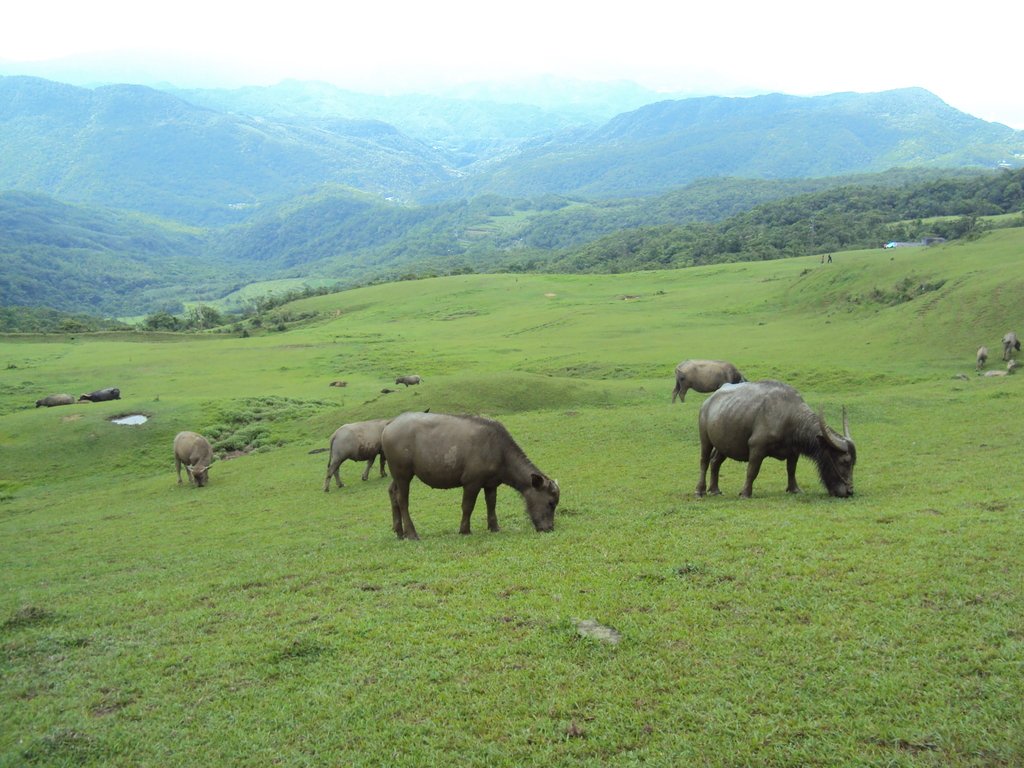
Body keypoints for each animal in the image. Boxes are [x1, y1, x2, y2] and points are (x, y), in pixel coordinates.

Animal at [696, 382, 856, 501]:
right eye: (845, 461)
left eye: (854, 463)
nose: (849, 491)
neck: (789, 417)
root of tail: (707, 402)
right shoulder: (757, 447)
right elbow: (752, 471)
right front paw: (745, 493)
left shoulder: (794, 451)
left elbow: (791, 470)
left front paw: (794, 489)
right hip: (705, 439)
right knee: (704, 462)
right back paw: (700, 491)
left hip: (724, 444)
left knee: (715, 462)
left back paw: (715, 490)